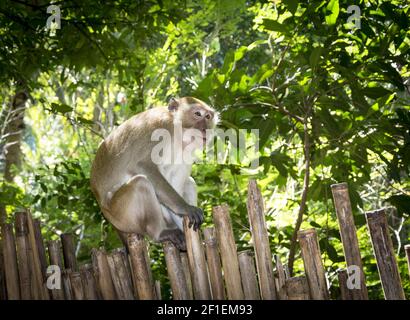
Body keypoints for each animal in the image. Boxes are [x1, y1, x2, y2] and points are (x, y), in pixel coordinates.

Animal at [89, 96, 218, 249]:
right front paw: (185, 208)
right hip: (121, 216)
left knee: (189, 183)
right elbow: (141, 165)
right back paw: (160, 232)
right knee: (141, 183)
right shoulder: (156, 129)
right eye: (197, 114)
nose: (205, 129)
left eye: (208, 117)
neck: (177, 134)